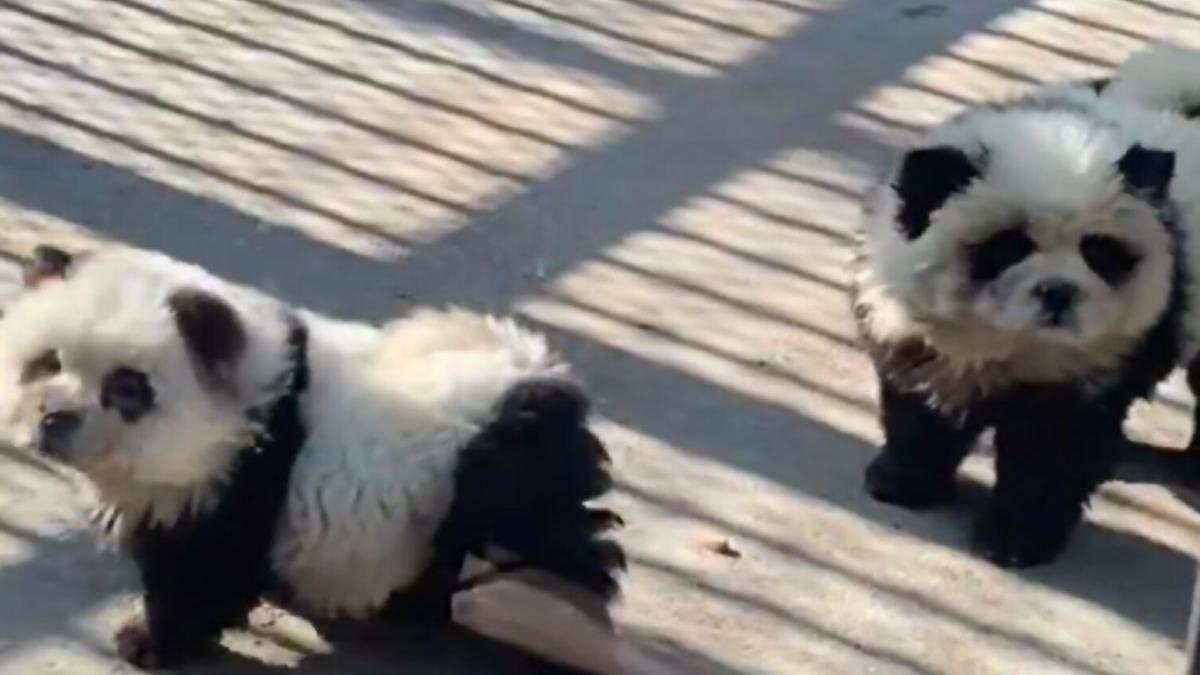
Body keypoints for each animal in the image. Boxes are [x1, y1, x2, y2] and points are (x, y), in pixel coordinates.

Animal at [0, 244, 624, 668]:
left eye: (127, 388)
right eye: (46, 362)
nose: (54, 420)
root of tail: (543, 381)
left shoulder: (243, 473)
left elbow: (203, 570)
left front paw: (148, 640)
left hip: (500, 479)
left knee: (551, 546)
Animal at [850, 46, 1200, 568]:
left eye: (1098, 251)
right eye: (1008, 246)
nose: (1058, 292)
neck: (1013, 345)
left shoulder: (1097, 363)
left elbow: (1051, 452)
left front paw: (1014, 538)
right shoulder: (916, 331)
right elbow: (920, 408)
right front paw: (901, 481)